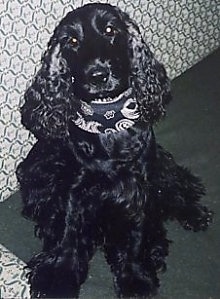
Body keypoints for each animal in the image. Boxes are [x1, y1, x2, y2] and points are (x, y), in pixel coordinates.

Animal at [16, 3, 212, 298]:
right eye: (71, 41)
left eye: (110, 30)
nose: (97, 75)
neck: (107, 122)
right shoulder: (74, 187)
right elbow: (68, 229)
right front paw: (59, 273)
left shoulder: (138, 186)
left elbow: (136, 234)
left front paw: (135, 277)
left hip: (160, 167)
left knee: (176, 187)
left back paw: (194, 215)